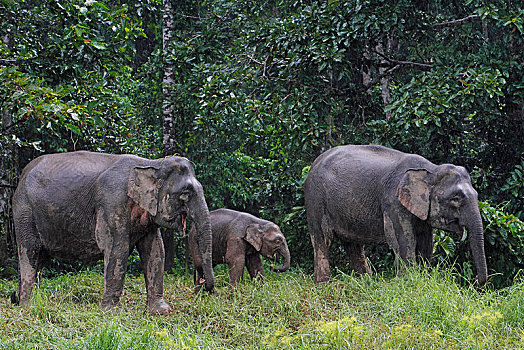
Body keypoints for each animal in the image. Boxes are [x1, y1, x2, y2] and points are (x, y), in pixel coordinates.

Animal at [13, 152, 216, 314]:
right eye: (186, 193)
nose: (204, 285)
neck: (151, 163)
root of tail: (21, 176)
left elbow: (155, 251)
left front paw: (161, 311)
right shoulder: (112, 202)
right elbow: (117, 248)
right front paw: (110, 312)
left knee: (39, 258)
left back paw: (19, 299)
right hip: (24, 211)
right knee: (30, 251)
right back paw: (27, 306)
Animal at [304, 144, 490, 284]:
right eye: (456, 198)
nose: (475, 279)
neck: (430, 170)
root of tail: (314, 163)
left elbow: (425, 241)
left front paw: (423, 278)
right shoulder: (392, 201)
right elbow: (403, 238)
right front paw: (409, 281)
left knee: (353, 245)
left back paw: (365, 281)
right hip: (315, 199)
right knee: (322, 239)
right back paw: (324, 283)